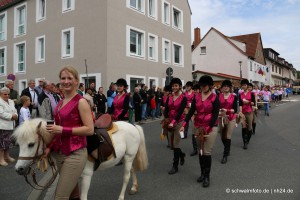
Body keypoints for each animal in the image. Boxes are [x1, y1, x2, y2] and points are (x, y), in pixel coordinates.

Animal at [13, 117, 149, 200]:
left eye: (31, 144)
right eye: (18, 144)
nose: (19, 169)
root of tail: (133, 125)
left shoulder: (86, 175)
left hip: (129, 157)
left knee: (126, 176)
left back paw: (121, 197)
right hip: (127, 158)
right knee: (132, 170)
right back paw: (134, 187)